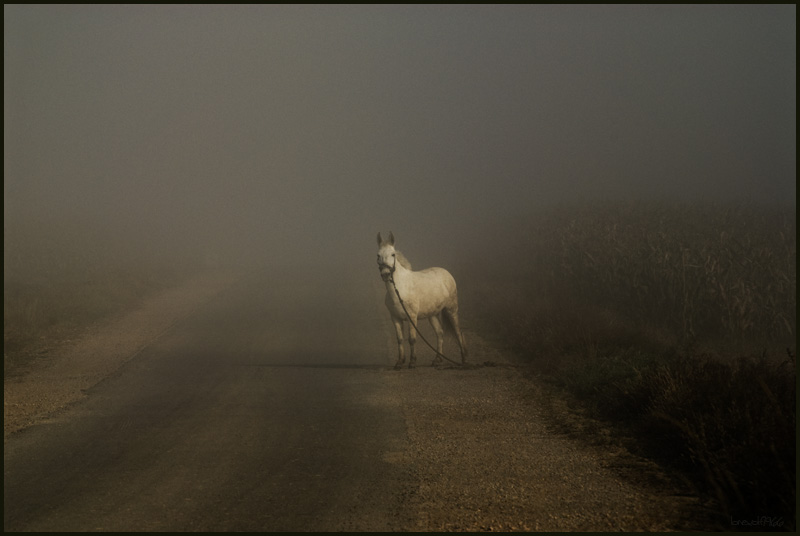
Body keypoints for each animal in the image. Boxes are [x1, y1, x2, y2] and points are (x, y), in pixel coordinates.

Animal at [376, 232, 466, 370]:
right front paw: (399, 362)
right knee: (440, 333)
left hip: (452, 310)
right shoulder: (395, 318)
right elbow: (400, 339)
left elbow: (412, 339)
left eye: (393, 254)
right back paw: (437, 360)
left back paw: (463, 359)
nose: (386, 274)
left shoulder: (412, 317)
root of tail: (447, 274)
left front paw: (412, 362)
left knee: (457, 332)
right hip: (433, 315)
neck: (400, 289)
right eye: (378, 255)